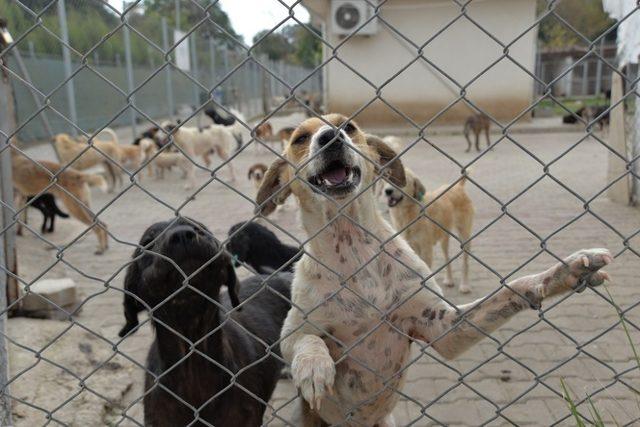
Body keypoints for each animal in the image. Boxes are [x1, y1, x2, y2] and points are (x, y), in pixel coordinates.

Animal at [255, 112, 616, 426]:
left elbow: (512, 289)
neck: (354, 252)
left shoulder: (442, 327)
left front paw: (567, 271)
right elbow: (306, 340)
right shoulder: (293, 330)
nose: (331, 137)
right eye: (300, 138)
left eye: (349, 126)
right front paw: (314, 367)